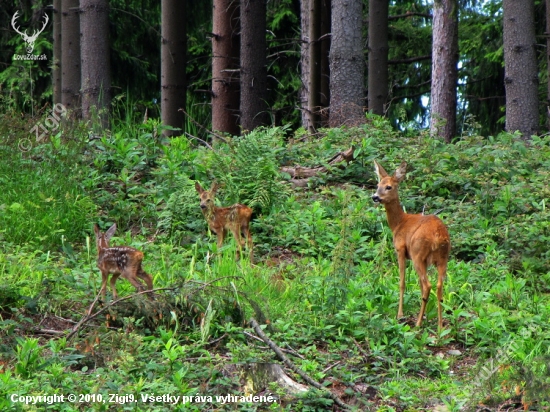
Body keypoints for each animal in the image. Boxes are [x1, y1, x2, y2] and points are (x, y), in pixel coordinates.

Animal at [374, 161, 450, 332]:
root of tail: (438, 236)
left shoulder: (401, 250)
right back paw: (439, 326)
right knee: (438, 285)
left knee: (428, 285)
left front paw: (400, 314)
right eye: (377, 185)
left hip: (417, 254)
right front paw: (426, 315)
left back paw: (418, 324)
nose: (375, 197)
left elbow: (402, 283)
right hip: (442, 258)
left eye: (388, 187)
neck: (398, 223)